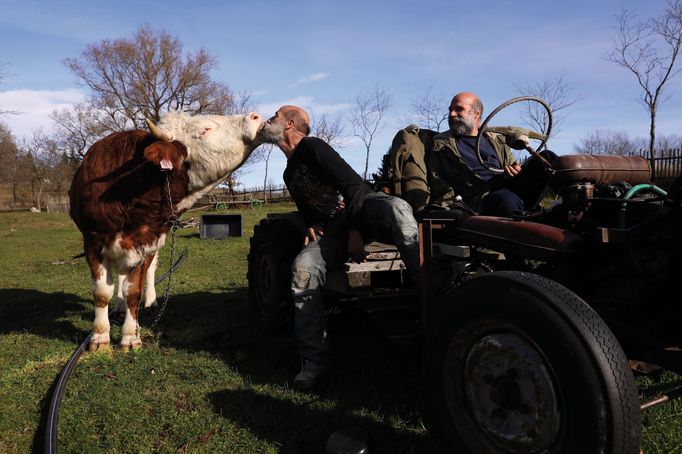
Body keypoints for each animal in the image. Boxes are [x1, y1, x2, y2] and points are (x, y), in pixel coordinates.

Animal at [67, 110, 262, 352]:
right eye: (205, 129)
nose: (255, 116)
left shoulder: (144, 242)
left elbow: (133, 291)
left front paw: (130, 336)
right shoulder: (93, 241)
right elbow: (102, 292)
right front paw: (99, 337)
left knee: (148, 271)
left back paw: (150, 303)